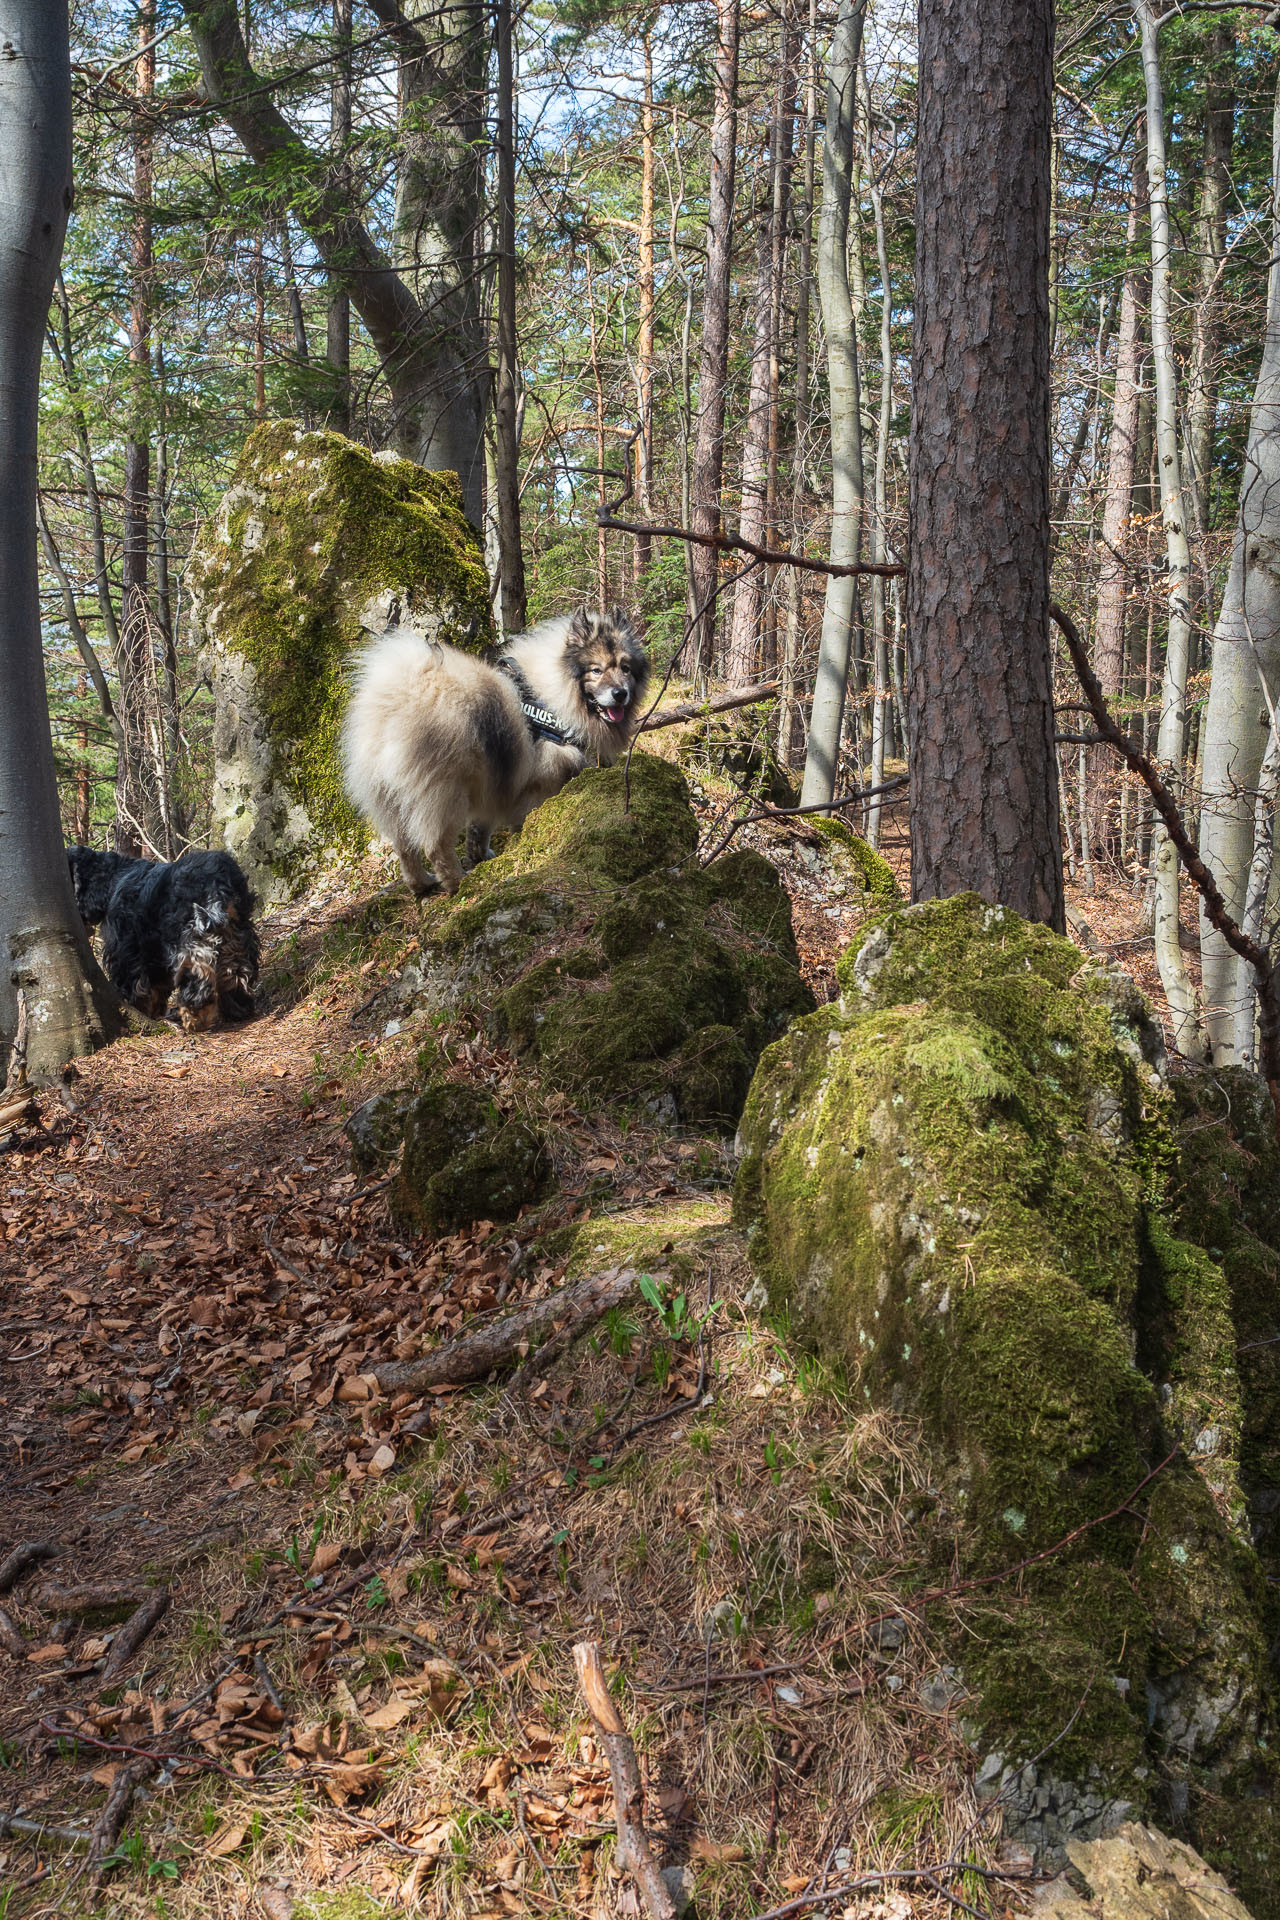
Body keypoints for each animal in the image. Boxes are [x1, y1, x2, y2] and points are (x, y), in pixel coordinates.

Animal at [70, 848, 262, 1029]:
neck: (114, 878)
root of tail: (217, 878)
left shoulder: (126, 950)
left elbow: (134, 983)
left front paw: (135, 1008)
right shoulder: (153, 954)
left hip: (189, 934)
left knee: (198, 971)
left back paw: (195, 1014)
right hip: (236, 934)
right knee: (236, 969)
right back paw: (238, 1006)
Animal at [343, 602, 652, 894]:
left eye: (625, 668)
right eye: (596, 670)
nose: (620, 694)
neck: (554, 695)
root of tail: (398, 698)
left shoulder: (495, 780)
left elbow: (481, 827)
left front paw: (480, 855)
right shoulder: (537, 782)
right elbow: (523, 817)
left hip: (390, 798)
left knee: (404, 846)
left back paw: (421, 883)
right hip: (445, 793)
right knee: (435, 845)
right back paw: (456, 883)